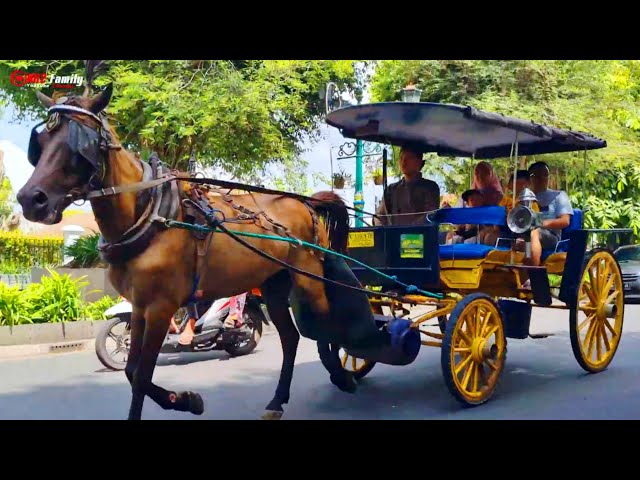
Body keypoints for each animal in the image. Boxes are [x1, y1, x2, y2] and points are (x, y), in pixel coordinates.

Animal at [17, 84, 358, 418]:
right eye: (41, 144)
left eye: (77, 145)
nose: (29, 199)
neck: (150, 214)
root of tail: (305, 202)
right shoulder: (139, 306)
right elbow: (130, 369)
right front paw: (184, 400)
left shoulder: (160, 306)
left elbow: (141, 376)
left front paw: (183, 400)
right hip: (274, 284)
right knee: (289, 337)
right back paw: (277, 400)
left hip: (309, 278)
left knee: (325, 324)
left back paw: (341, 375)